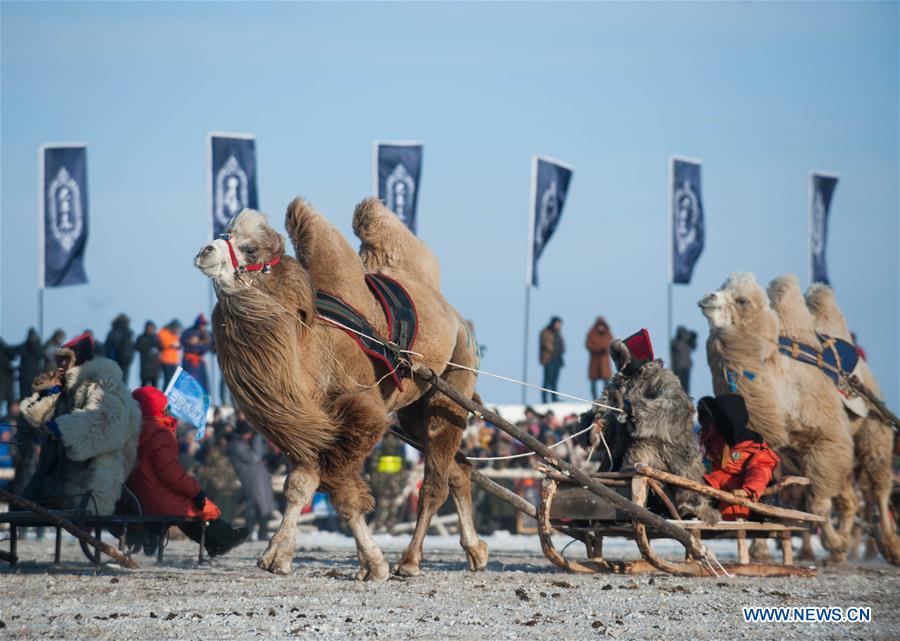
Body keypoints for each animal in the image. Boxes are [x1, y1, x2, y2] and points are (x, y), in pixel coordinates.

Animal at [194, 198, 488, 576]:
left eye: (250, 248)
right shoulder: (308, 424)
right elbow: (300, 485)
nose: (204, 251)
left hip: (456, 376)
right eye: (224, 234)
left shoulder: (362, 413)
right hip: (414, 410)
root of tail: (453, 315)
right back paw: (476, 552)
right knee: (459, 469)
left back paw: (410, 561)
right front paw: (277, 555)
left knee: (434, 481)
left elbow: (340, 490)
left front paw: (374, 564)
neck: (308, 347)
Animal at [700, 272, 856, 564]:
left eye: (742, 300)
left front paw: (835, 544)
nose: (707, 297)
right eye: (719, 287)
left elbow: (818, 504)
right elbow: (760, 494)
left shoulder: (829, 439)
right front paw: (759, 550)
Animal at [804, 282, 900, 564]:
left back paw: (890, 545)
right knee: (849, 499)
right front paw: (836, 545)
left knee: (879, 489)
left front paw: (835, 544)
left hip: (874, 437)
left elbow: (817, 502)